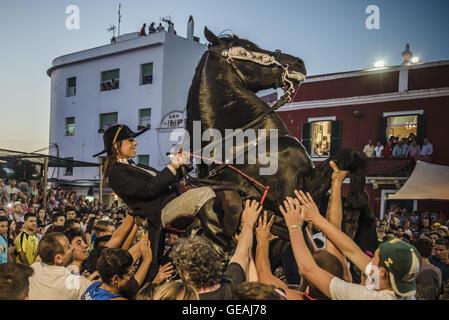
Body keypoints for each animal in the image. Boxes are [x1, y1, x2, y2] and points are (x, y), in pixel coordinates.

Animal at [180, 28, 376, 272]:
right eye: (246, 48)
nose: (298, 63)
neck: (247, 141)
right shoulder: (292, 193)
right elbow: (352, 155)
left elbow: (354, 159)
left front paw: (355, 210)